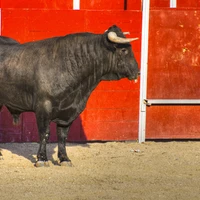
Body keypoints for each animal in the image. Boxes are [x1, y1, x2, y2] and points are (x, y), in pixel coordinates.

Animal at [0, 25, 139, 166]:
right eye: (123, 50)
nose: (137, 72)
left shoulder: (69, 111)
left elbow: (62, 136)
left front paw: (64, 159)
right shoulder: (43, 107)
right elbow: (45, 133)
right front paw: (42, 159)